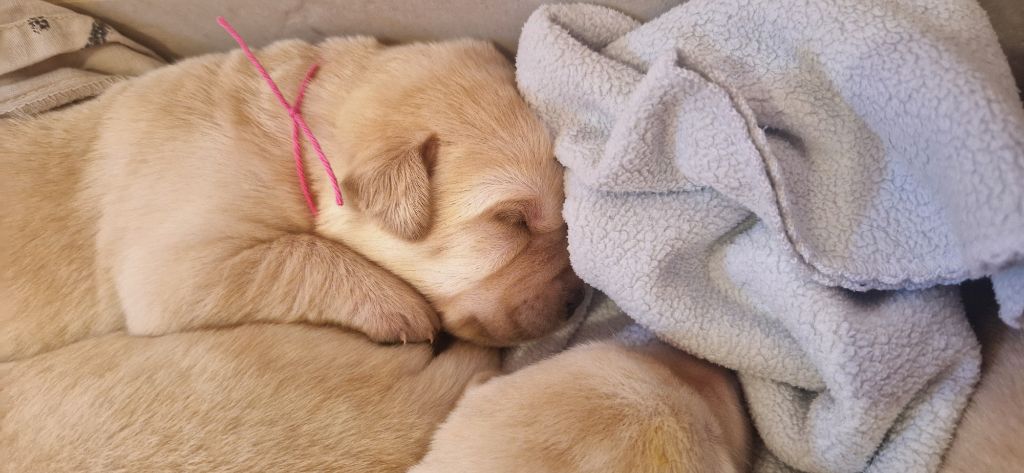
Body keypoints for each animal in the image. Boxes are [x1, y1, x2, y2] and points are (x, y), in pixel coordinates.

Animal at [0, 36, 585, 360]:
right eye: (512, 221)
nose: (579, 300)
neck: (293, 132)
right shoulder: (172, 267)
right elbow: (297, 254)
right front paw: (397, 307)